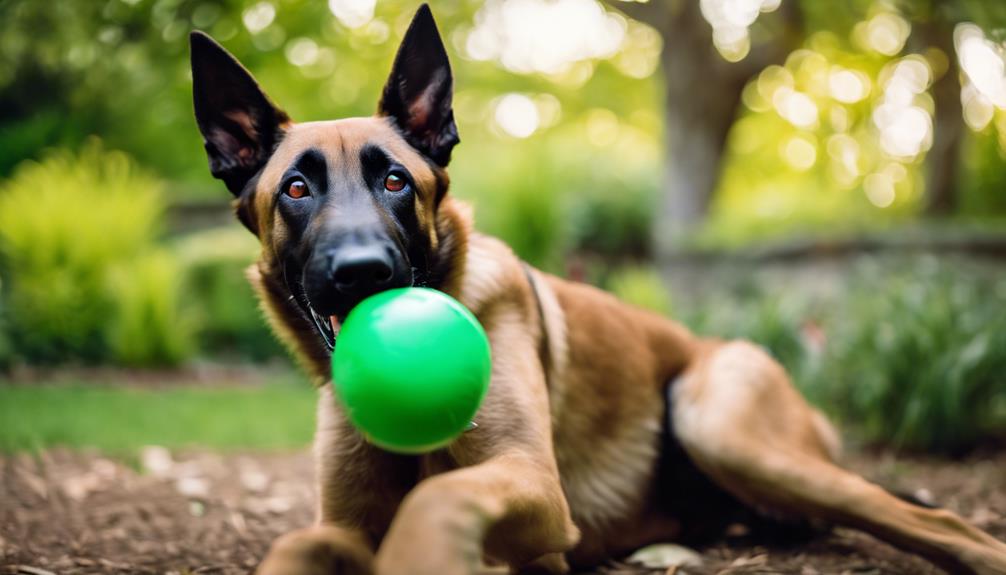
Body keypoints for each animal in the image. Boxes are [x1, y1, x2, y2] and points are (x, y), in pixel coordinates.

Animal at [189, 5, 1006, 575]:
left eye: (395, 180)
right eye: (296, 189)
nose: (363, 272)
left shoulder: (533, 487)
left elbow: (441, 492)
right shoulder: (342, 525)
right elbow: (296, 544)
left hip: (725, 426)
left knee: (935, 520)